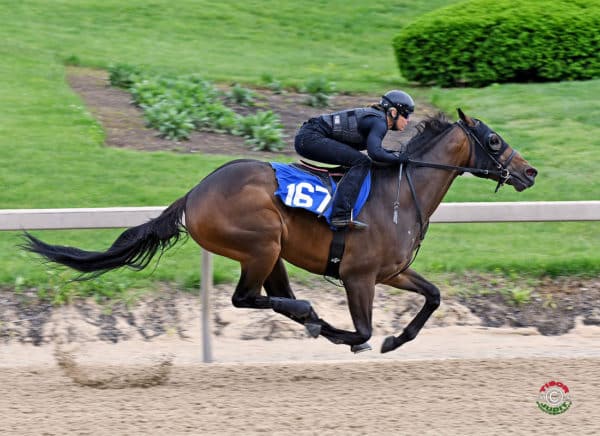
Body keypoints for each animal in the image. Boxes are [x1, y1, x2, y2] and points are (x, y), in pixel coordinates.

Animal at [23, 109, 540, 354]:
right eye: (494, 140)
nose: (530, 172)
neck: (401, 193)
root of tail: (193, 194)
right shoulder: (358, 276)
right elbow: (363, 328)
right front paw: (357, 337)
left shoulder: (391, 272)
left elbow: (432, 296)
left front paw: (396, 340)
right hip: (261, 244)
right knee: (246, 299)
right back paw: (313, 316)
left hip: (272, 254)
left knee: (271, 297)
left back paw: (312, 318)